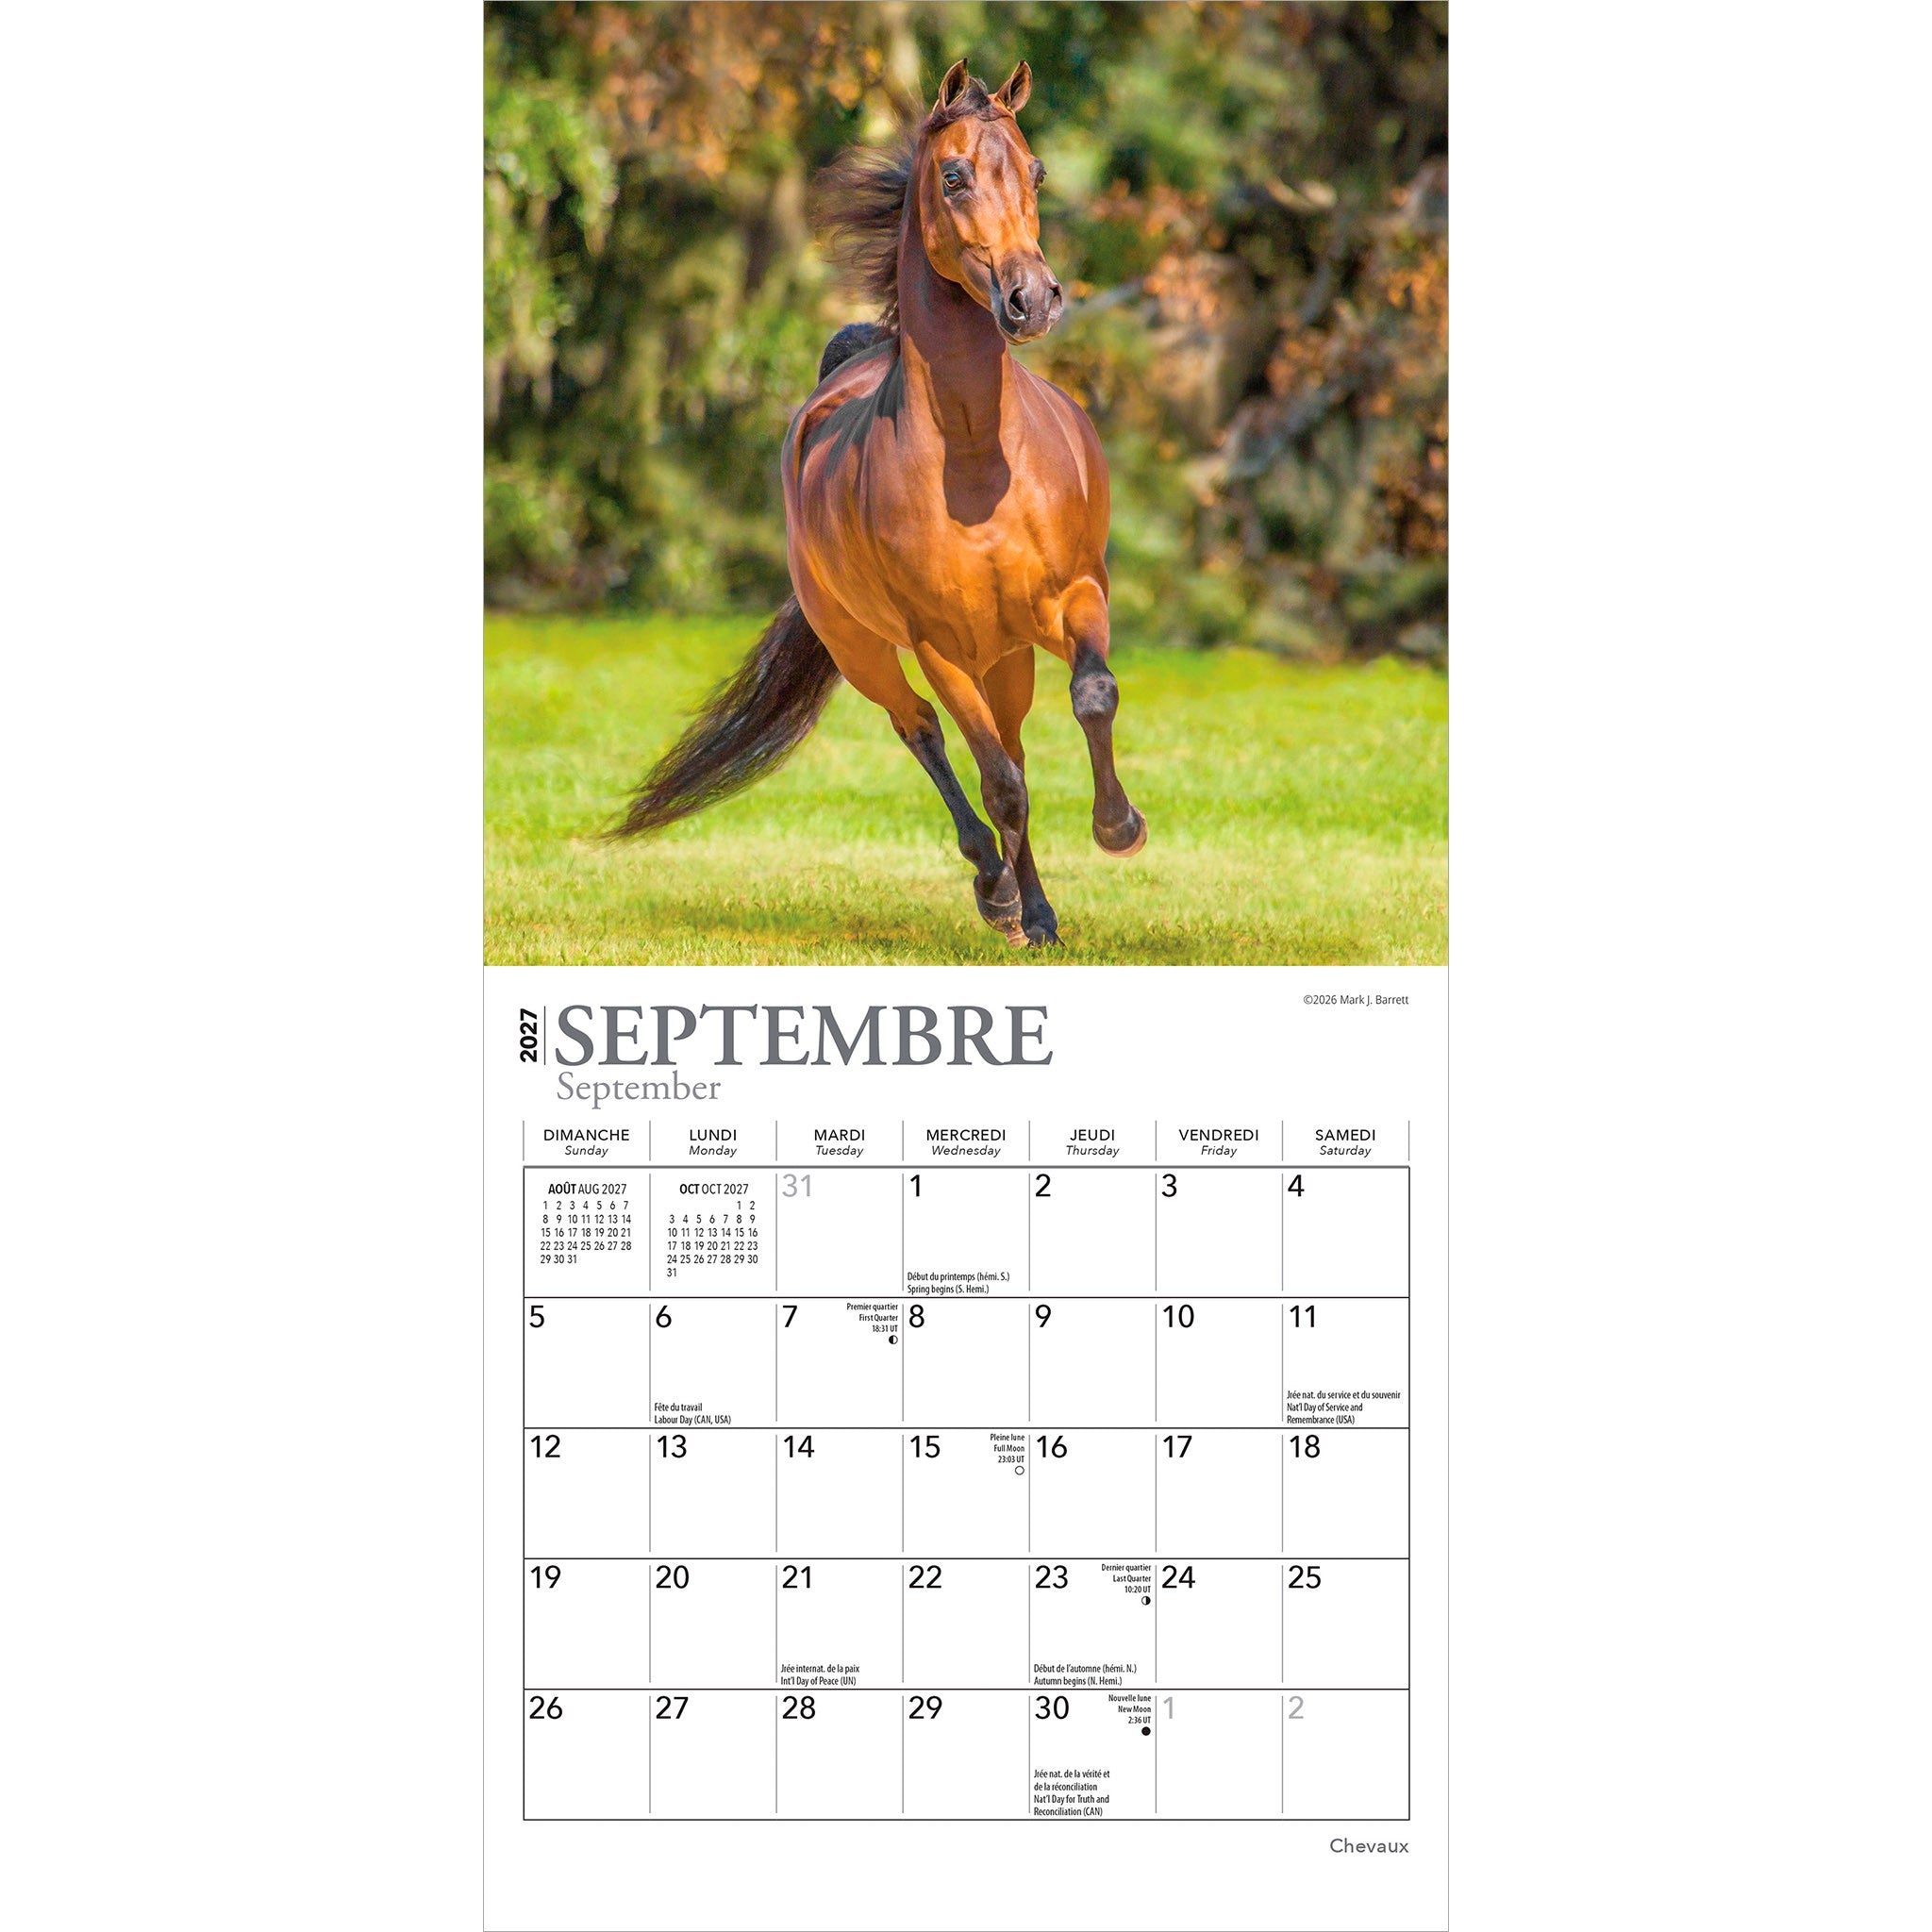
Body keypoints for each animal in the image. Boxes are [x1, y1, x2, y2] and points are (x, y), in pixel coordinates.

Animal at [611, 58, 1145, 948]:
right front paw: (1010, 897)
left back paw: (1034, 908)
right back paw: (998, 893)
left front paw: (1117, 829)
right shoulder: (936, 644)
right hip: (864, 646)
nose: (1033, 300)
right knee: (925, 732)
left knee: (1009, 745)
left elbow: (1090, 699)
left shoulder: (1075, 596)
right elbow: (995, 781)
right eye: (954, 176)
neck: (976, 463)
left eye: (1035, 171)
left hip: (1005, 654)